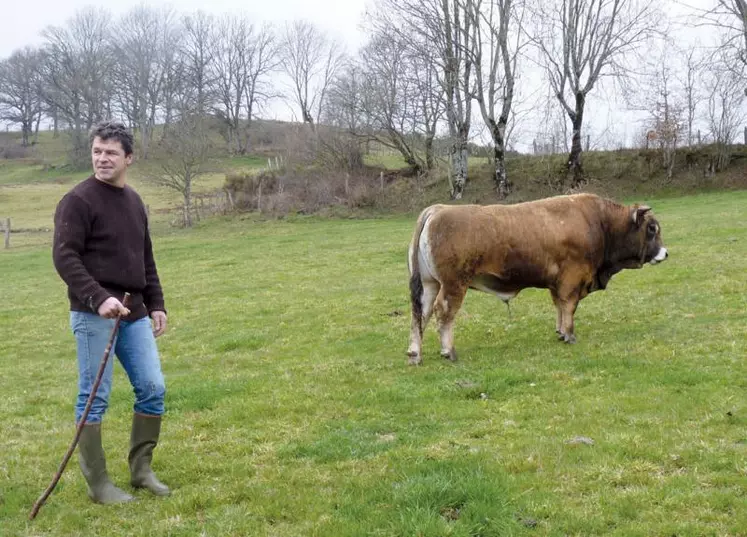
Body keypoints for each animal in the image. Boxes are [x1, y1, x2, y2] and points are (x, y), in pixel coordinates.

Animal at [406, 193, 668, 364]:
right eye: (652, 228)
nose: (665, 253)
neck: (599, 222)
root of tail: (438, 209)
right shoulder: (572, 280)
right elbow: (569, 307)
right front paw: (569, 334)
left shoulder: (557, 284)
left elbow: (559, 307)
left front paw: (560, 332)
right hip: (453, 285)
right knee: (443, 312)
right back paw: (448, 351)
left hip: (430, 285)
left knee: (421, 313)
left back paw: (414, 353)